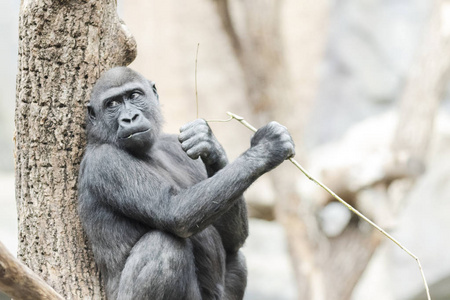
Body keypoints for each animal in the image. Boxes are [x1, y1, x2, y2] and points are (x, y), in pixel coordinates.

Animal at [77, 67, 296, 298]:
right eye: (112, 104)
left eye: (134, 95)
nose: (130, 118)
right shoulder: (105, 161)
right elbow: (174, 212)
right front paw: (266, 149)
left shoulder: (175, 144)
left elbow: (233, 238)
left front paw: (209, 143)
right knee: (165, 246)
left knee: (236, 255)